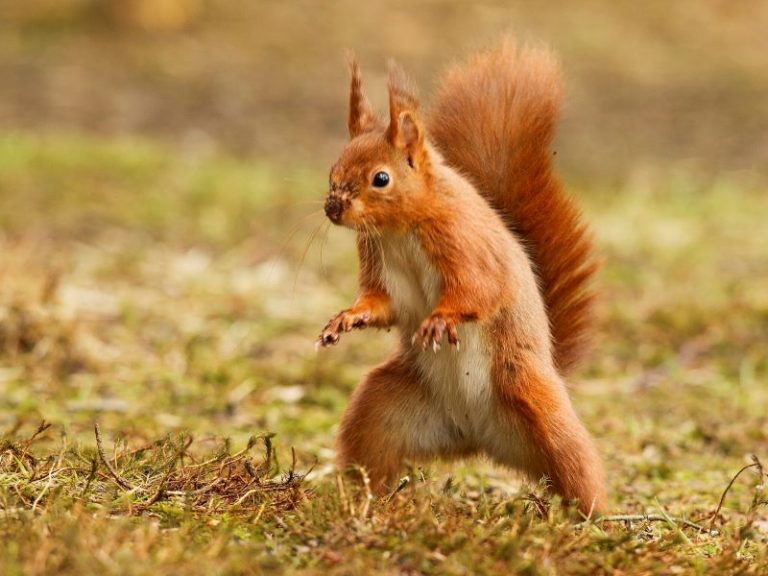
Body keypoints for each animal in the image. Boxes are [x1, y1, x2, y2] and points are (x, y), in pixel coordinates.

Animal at [318, 40, 608, 512]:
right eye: (333, 171)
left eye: (381, 178)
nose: (333, 209)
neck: (401, 229)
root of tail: (479, 438)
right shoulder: (378, 260)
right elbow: (382, 304)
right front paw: (346, 318)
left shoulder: (466, 244)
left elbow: (481, 289)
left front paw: (442, 318)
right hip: (382, 409)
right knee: (371, 453)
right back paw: (363, 502)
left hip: (537, 405)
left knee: (577, 467)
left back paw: (594, 519)